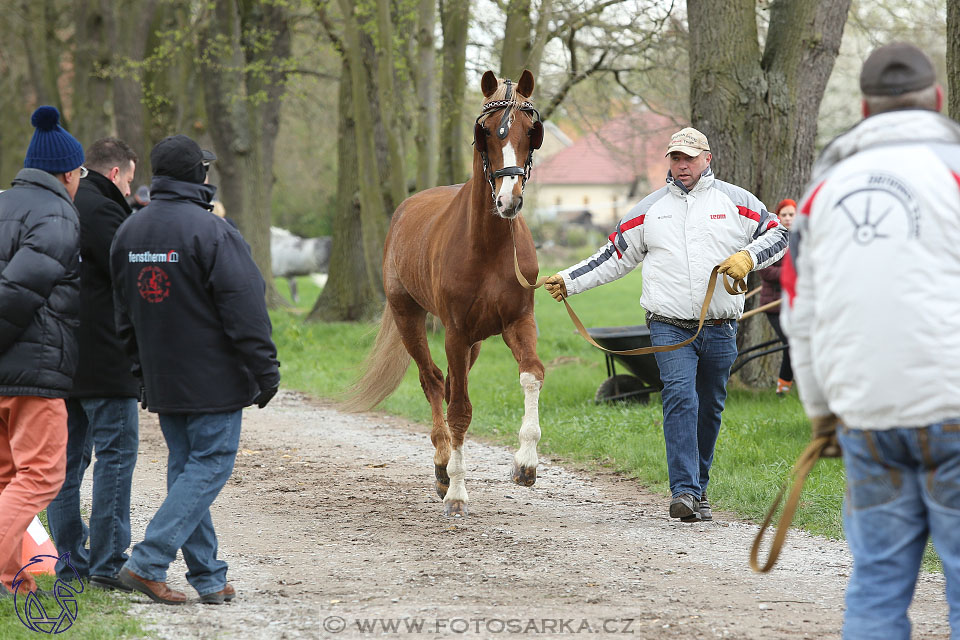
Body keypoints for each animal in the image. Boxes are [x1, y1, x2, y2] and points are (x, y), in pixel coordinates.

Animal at [348, 70, 548, 516]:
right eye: (486, 131)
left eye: (531, 132)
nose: (509, 200)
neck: (489, 246)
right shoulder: (455, 332)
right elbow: (458, 411)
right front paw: (456, 490)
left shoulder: (518, 321)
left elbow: (532, 375)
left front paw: (525, 462)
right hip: (409, 317)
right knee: (433, 381)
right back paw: (442, 467)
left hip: (474, 341)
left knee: (453, 382)